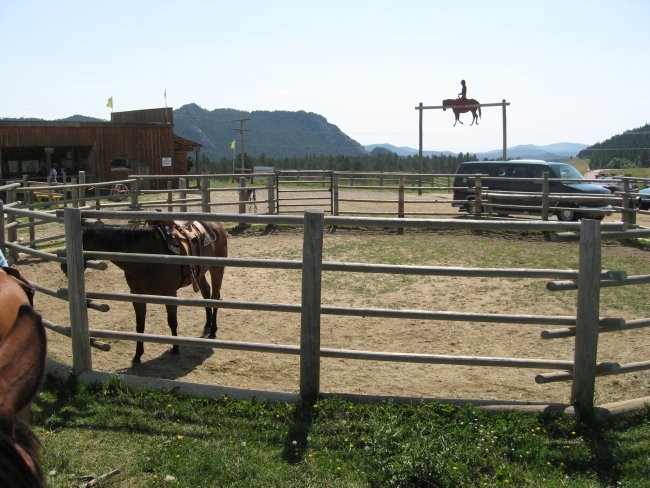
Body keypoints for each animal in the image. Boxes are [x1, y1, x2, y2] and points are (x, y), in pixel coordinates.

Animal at [79, 221, 227, 362]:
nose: (67, 268)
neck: (146, 259)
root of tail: (216, 226)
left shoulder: (170, 293)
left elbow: (172, 321)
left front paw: (175, 348)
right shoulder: (137, 295)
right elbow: (140, 325)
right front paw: (138, 355)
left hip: (217, 269)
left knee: (215, 296)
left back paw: (213, 330)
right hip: (200, 272)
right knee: (206, 292)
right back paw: (208, 324)